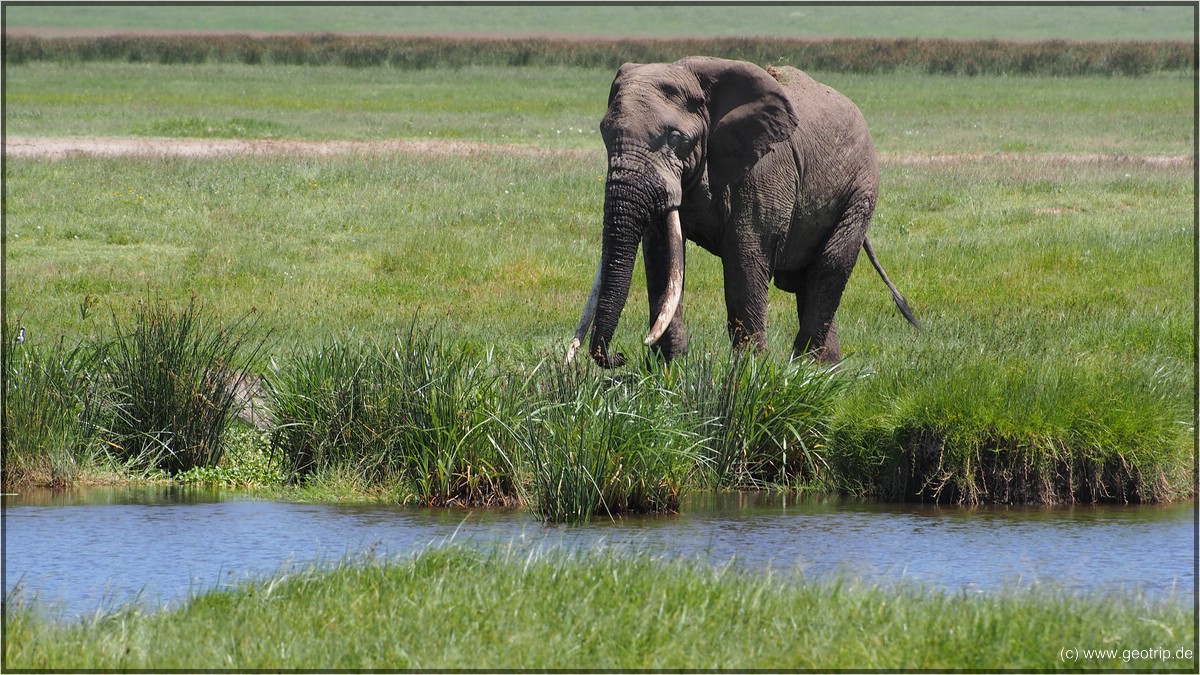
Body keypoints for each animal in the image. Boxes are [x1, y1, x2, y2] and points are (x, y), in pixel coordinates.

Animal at [566, 55, 912, 365]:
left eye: (675, 138)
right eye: (604, 131)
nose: (619, 357)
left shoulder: (764, 170)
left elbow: (745, 253)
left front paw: (748, 371)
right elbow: (663, 256)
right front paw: (668, 366)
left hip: (860, 191)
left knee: (829, 267)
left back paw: (806, 368)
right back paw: (826, 368)